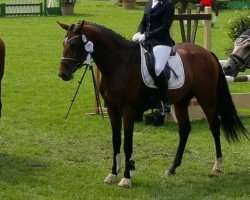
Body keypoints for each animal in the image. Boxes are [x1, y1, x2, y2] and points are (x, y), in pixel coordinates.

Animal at [57, 21, 247, 188]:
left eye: (74, 44)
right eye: (64, 43)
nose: (63, 74)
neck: (119, 63)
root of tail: (206, 52)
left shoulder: (128, 111)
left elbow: (127, 144)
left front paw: (126, 178)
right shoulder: (112, 109)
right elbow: (116, 141)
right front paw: (112, 175)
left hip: (206, 98)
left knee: (214, 126)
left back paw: (217, 165)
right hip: (181, 101)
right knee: (185, 129)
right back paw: (172, 168)